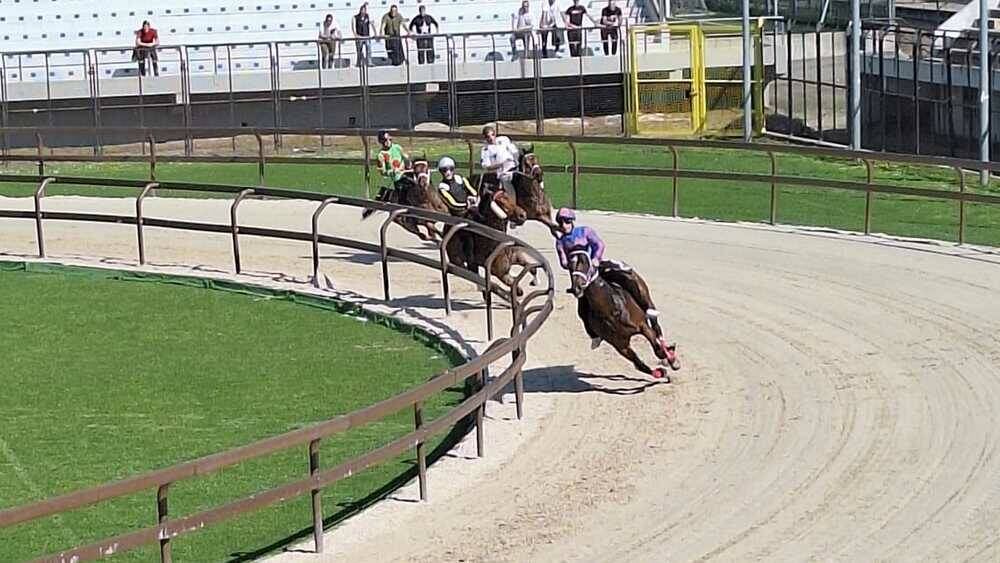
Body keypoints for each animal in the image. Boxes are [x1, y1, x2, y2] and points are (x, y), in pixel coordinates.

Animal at [572, 249, 680, 382]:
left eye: (586, 262)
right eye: (570, 266)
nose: (577, 287)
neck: (610, 310)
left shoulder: (643, 326)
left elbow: (657, 349)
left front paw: (672, 361)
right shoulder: (621, 346)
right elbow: (639, 365)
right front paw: (661, 373)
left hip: (642, 293)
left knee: (656, 326)